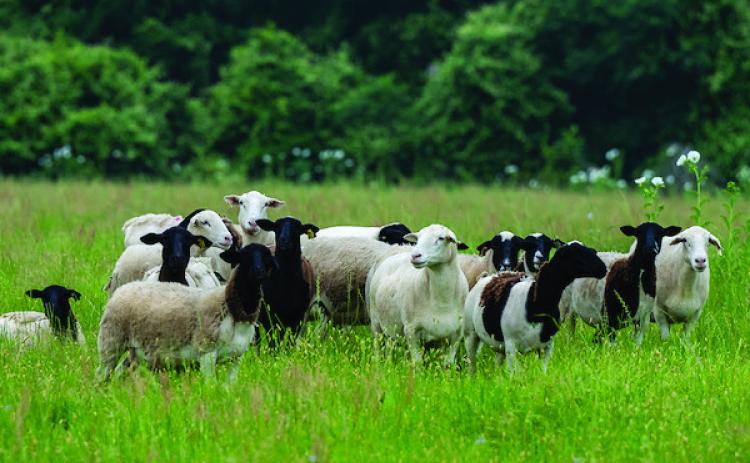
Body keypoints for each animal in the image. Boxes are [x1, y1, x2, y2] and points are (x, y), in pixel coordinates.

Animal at [97, 244, 275, 380]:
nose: (258, 271)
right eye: (243, 258)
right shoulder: (206, 353)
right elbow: (210, 386)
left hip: (135, 352)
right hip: (111, 341)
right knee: (102, 374)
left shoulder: (235, 358)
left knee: (119, 373)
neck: (232, 310)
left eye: (267, 258)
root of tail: (123, 289)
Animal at [367, 224, 469, 365]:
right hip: (376, 322)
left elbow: (447, 364)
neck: (442, 301)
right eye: (418, 238)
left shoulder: (456, 334)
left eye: (441, 238)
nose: (415, 256)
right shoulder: (411, 331)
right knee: (378, 347)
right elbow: (418, 362)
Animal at [464, 242, 606, 373]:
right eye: (577, 254)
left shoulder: (547, 346)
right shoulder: (511, 346)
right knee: (472, 364)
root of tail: (487, 277)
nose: (603, 268)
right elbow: (514, 375)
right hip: (470, 334)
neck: (534, 304)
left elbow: (543, 371)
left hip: (499, 346)